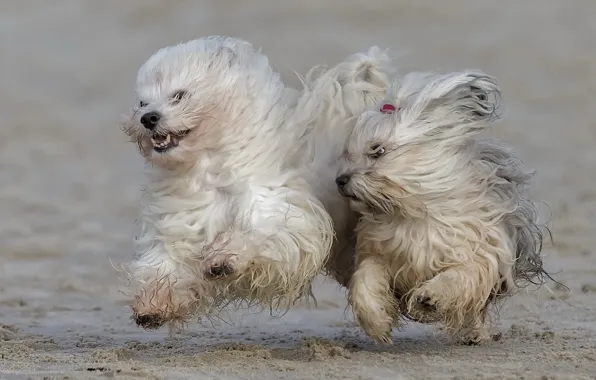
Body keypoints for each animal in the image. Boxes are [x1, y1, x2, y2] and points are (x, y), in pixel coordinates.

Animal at [120, 37, 392, 332]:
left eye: (179, 95)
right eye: (143, 102)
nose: (148, 118)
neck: (208, 167)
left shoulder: (280, 208)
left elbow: (260, 233)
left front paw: (224, 259)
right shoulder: (182, 221)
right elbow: (165, 261)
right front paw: (154, 302)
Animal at [336, 70, 548, 344]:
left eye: (377, 150)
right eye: (348, 153)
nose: (340, 180)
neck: (414, 212)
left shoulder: (478, 250)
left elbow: (460, 274)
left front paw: (430, 299)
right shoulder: (379, 251)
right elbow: (365, 277)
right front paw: (376, 320)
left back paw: (473, 334)